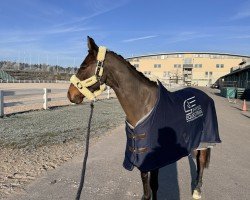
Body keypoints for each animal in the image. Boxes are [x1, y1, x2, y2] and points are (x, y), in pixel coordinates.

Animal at [67, 36, 221, 199]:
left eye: (83, 66)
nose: (70, 95)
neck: (144, 104)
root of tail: (205, 96)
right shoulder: (141, 154)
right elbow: (145, 183)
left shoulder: (154, 157)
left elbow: (154, 185)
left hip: (205, 139)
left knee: (201, 160)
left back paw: (197, 189)